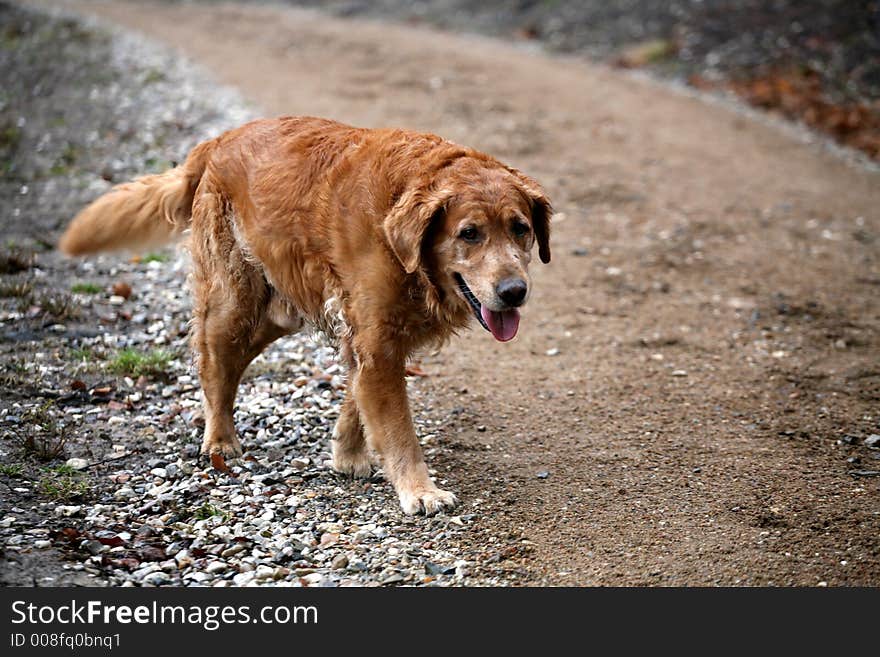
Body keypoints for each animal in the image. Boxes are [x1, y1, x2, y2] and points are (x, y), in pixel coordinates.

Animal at [62, 116, 552, 512]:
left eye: (520, 229)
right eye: (469, 233)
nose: (514, 292)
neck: (403, 247)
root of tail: (217, 141)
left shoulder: (371, 338)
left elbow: (358, 400)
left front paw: (347, 455)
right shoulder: (377, 343)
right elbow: (399, 430)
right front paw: (420, 490)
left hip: (275, 315)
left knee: (224, 364)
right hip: (232, 305)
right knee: (212, 366)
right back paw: (219, 439)